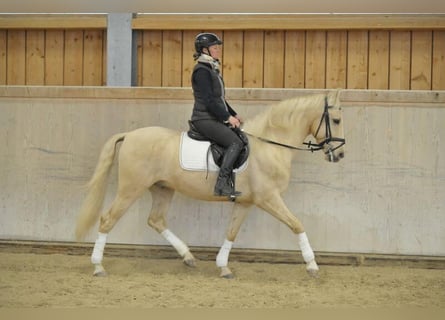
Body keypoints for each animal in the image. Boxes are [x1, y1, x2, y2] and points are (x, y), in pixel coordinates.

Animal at [75, 90, 344, 278]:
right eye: (337, 120)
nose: (339, 155)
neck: (270, 144)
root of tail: (130, 135)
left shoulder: (246, 202)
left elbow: (231, 231)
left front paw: (223, 267)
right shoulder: (269, 198)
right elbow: (297, 224)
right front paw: (312, 265)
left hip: (163, 188)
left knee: (156, 220)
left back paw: (188, 257)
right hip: (131, 189)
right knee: (107, 219)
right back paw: (98, 267)